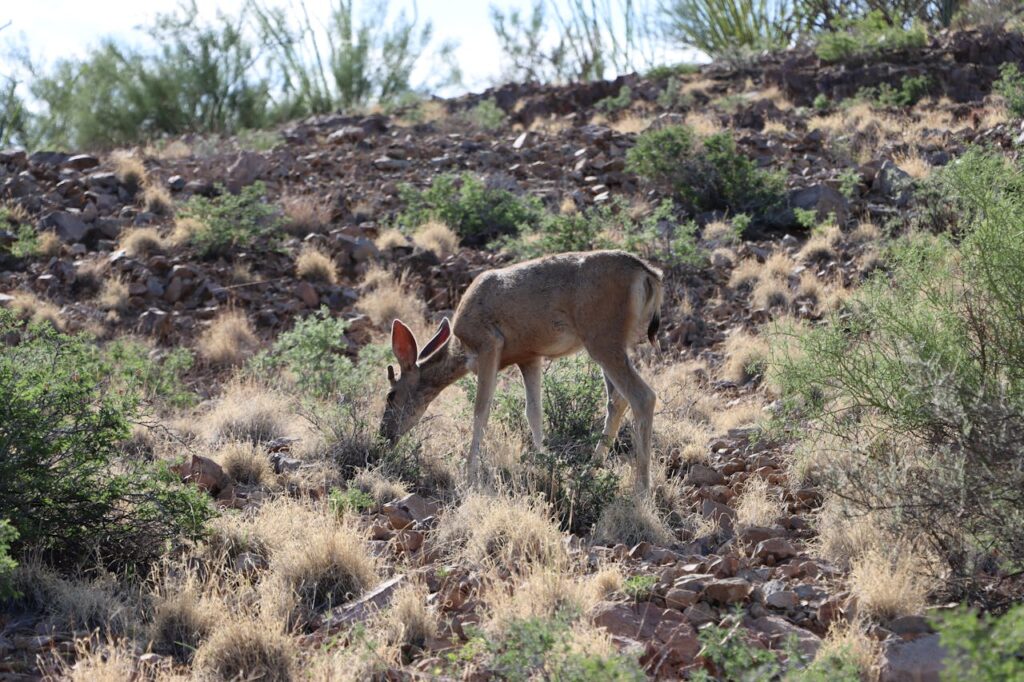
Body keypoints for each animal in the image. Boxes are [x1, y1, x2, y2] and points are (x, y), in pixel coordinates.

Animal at [379, 249, 664, 493]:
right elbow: (534, 412)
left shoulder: (489, 343)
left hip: (602, 335)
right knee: (616, 399)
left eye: (390, 395)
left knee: (642, 396)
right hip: (614, 341)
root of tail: (648, 273)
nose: (384, 435)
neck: (461, 348)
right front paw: (544, 462)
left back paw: (641, 489)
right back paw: (589, 470)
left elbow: (481, 410)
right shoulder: (529, 356)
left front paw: (470, 472)